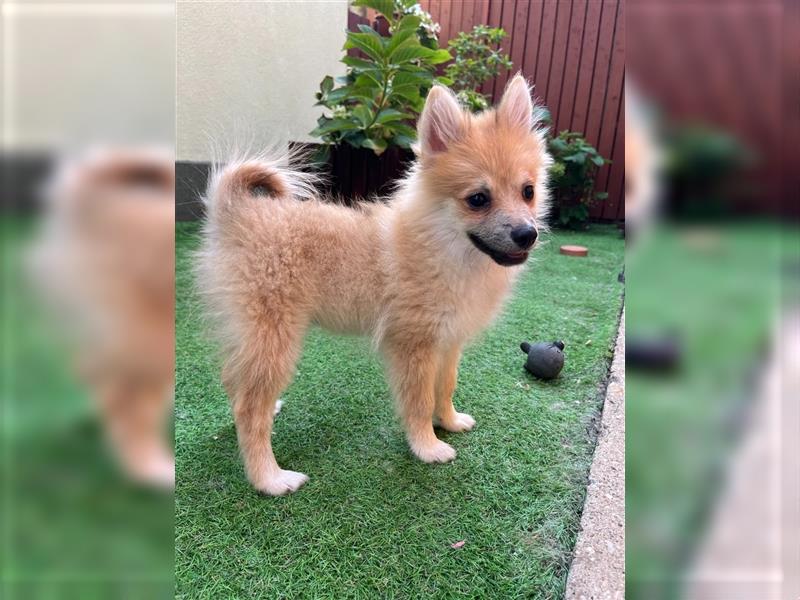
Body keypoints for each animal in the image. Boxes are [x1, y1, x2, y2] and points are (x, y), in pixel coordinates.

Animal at [197, 74, 552, 496]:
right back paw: (269, 478)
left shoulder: (447, 342)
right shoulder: (413, 346)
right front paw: (428, 446)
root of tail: (236, 215)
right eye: (478, 199)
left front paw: (449, 422)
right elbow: (419, 401)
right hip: (274, 337)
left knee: (233, 379)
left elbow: (445, 386)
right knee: (249, 410)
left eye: (528, 191)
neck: (444, 247)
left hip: (250, 335)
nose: (527, 234)